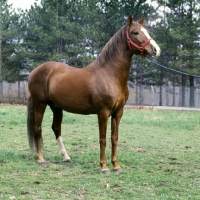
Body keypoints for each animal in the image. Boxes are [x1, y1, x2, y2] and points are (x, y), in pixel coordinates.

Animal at [27, 14, 161, 173]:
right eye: (135, 32)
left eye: (146, 31)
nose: (156, 50)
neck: (110, 74)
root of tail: (35, 71)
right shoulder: (103, 112)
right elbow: (102, 139)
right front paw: (104, 167)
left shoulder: (118, 112)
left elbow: (114, 138)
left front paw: (116, 166)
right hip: (40, 104)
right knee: (37, 128)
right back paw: (41, 159)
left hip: (56, 107)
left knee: (56, 128)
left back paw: (66, 157)